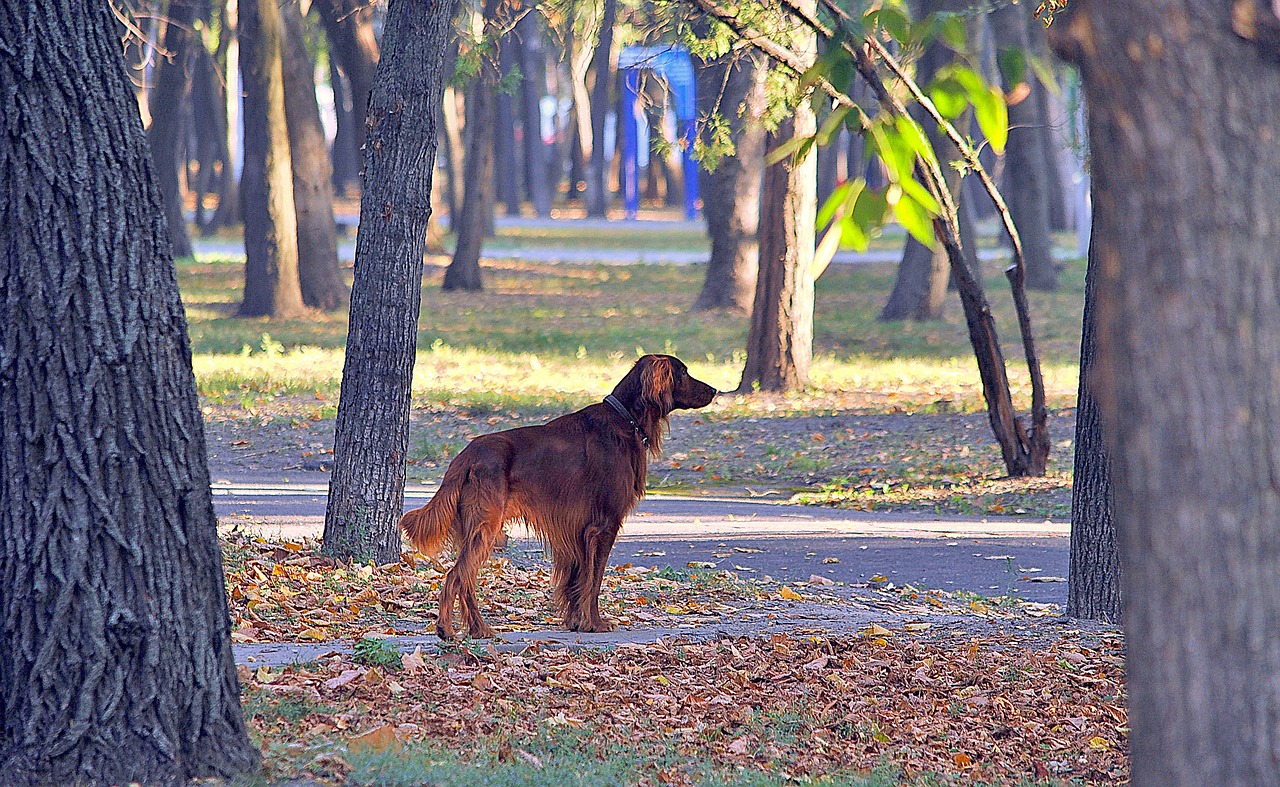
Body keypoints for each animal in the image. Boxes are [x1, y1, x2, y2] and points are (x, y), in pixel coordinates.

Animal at [399, 358, 716, 639]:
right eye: (683, 372)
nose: (714, 390)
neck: (625, 420)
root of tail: (467, 454)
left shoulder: (577, 530)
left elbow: (576, 581)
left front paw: (577, 622)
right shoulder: (604, 525)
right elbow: (593, 581)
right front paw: (595, 623)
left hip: (478, 529)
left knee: (466, 580)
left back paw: (479, 630)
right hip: (485, 527)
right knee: (456, 576)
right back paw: (447, 629)